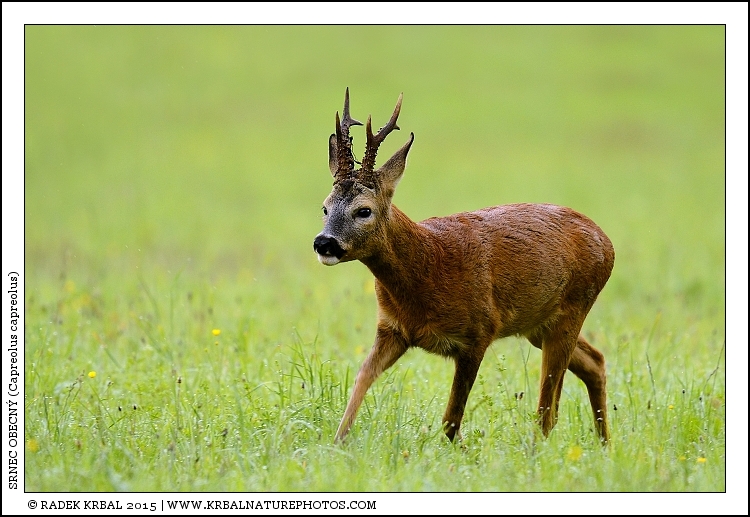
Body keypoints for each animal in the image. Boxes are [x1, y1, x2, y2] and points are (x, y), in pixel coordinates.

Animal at [313, 88, 615, 445]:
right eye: (324, 207)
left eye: (364, 210)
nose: (324, 243)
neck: (428, 267)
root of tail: (607, 242)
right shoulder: (392, 329)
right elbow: (361, 379)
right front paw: (336, 444)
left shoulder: (478, 332)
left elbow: (451, 419)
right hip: (538, 325)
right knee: (593, 362)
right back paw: (605, 446)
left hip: (573, 308)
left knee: (547, 409)